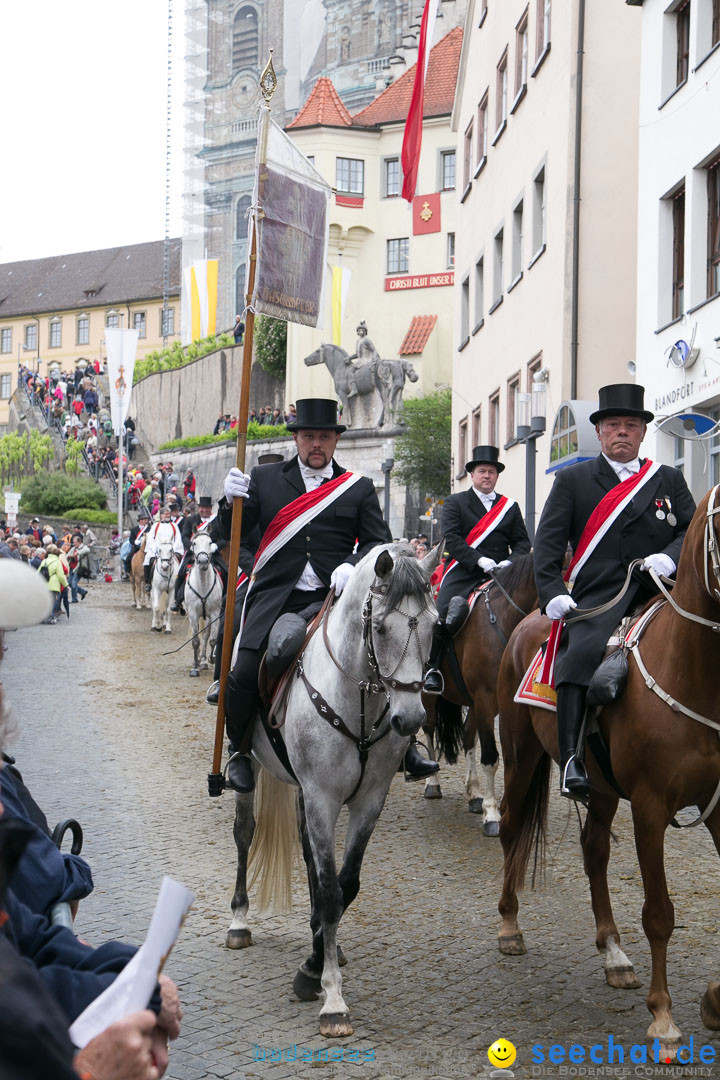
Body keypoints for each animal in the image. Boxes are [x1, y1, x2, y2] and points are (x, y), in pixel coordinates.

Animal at [184, 531, 221, 673]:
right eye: (194, 543)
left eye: (210, 542)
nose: (204, 561)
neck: (203, 584)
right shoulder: (193, 614)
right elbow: (195, 641)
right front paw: (195, 666)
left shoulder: (215, 614)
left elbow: (212, 639)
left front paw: (211, 659)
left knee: (205, 635)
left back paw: (204, 660)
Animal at [227, 544, 436, 1041]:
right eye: (380, 627)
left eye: (435, 624)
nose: (410, 719)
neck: (358, 697)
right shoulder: (322, 795)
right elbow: (329, 892)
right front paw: (328, 994)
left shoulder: (369, 800)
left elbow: (346, 883)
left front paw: (318, 958)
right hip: (260, 771)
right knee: (245, 832)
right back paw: (240, 919)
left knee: (308, 856)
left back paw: (324, 942)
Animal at [423, 552, 535, 838]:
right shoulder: (485, 699)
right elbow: (491, 758)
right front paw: (492, 814)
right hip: (431, 696)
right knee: (429, 727)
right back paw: (432, 782)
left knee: (465, 735)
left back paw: (474, 793)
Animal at [498, 488, 720, 1054]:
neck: (693, 669)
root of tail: (529, 621)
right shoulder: (649, 808)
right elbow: (659, 914)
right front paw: (664, 1019)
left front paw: (714, 1001)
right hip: (521, 754)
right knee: (510, 826)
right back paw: (509, 925)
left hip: (598, 786)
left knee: (594, 849)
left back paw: (614, 953)